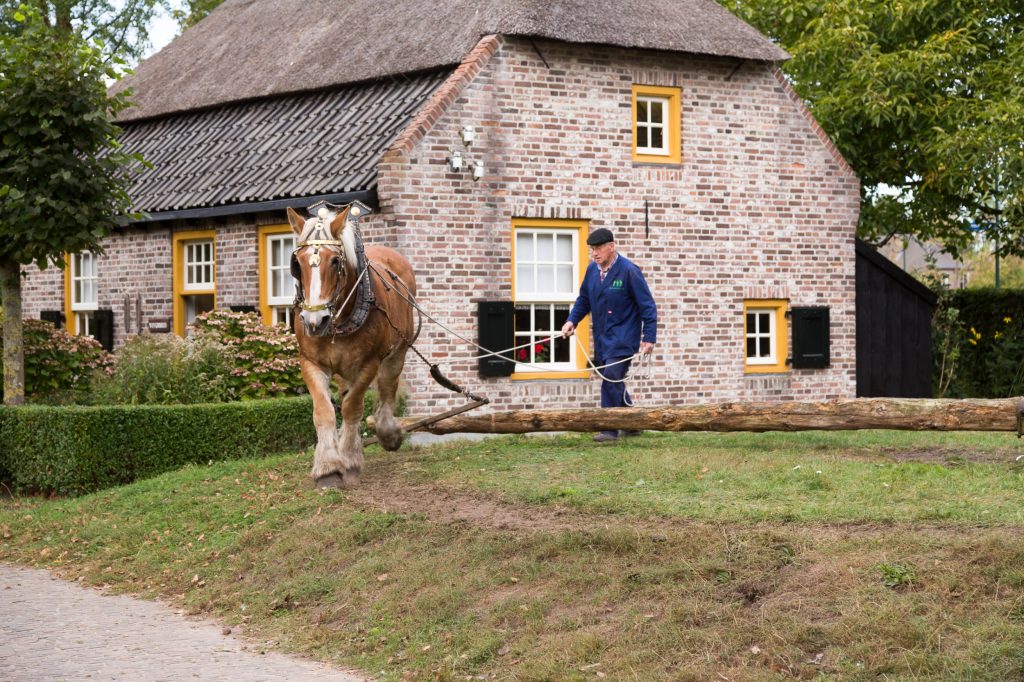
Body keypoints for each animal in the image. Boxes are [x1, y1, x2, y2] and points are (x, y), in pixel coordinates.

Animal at [284, 199, 415, 485]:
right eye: (296, 263)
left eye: (335, 261)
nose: (315, 321)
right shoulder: (310, 363)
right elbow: (324, 411)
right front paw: (328, 466)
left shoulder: (369, 364)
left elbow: (352, 407)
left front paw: (350, 460)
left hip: (397, 352)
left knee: (387, 386)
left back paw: (387, 432)